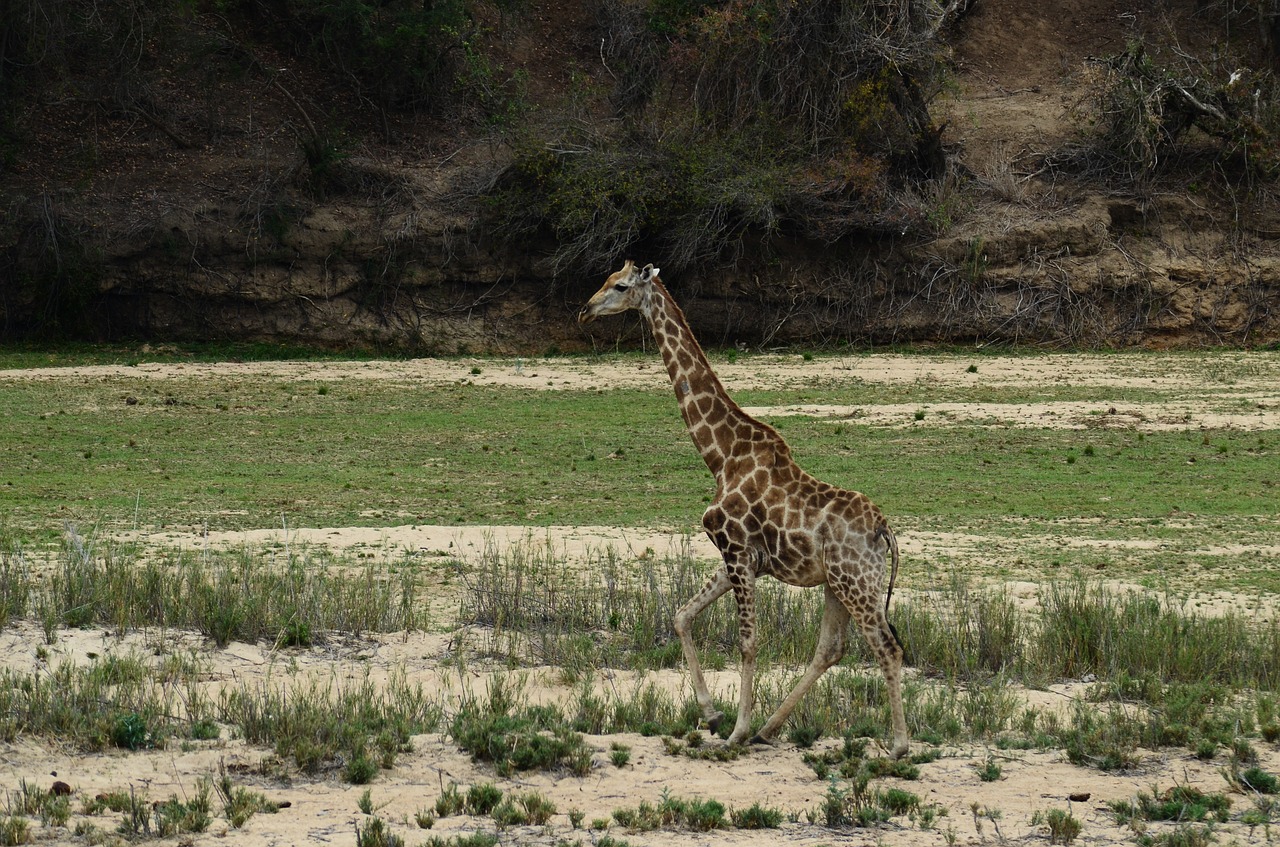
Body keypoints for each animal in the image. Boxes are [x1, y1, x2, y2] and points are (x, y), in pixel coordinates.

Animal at [581, 262, 911, 757]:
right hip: (838, 583)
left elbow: (748, 643)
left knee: (886, 647)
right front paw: (713, 715)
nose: (585, 310)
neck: (721, 455)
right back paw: (769, 729)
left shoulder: (736, 551)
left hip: (856, 583)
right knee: (832, 648)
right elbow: (682, 615)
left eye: (620, 286)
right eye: (606, 278)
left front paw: (733, 731)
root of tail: (883, 530)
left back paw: (898, 745)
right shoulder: (739, 558)